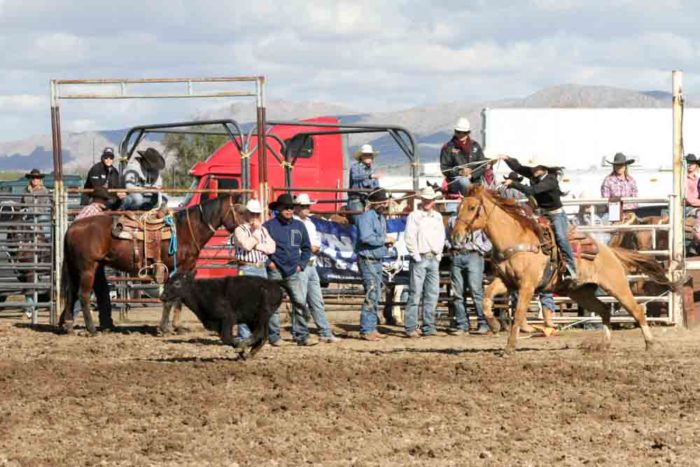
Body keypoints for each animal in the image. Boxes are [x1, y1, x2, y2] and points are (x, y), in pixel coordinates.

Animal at [58, 195, 243, 336]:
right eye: (240, 210)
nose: (246, 228)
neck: (185, 231)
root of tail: (73, 227)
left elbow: (178, 299)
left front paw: (177, 327)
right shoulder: (178, 269)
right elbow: (171, 299)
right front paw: (165, 329)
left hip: (78, 269)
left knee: (71, 294)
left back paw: (69, 326)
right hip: (87, 269)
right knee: (83, 296)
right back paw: (91, 329)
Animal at [452, 186, 676, 354]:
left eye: (472, 207)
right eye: (459, 207)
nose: (456, 236)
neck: (516, 238)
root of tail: (609, 250)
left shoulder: (527, 286)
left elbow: (518, 313)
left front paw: (509, 347)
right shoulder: (506, 282)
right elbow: (486, 299)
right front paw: (495, 325)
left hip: (616, 286)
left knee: (636, 310)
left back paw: (650, 344)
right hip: (580, 292)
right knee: (604, 310)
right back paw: (604, 344)